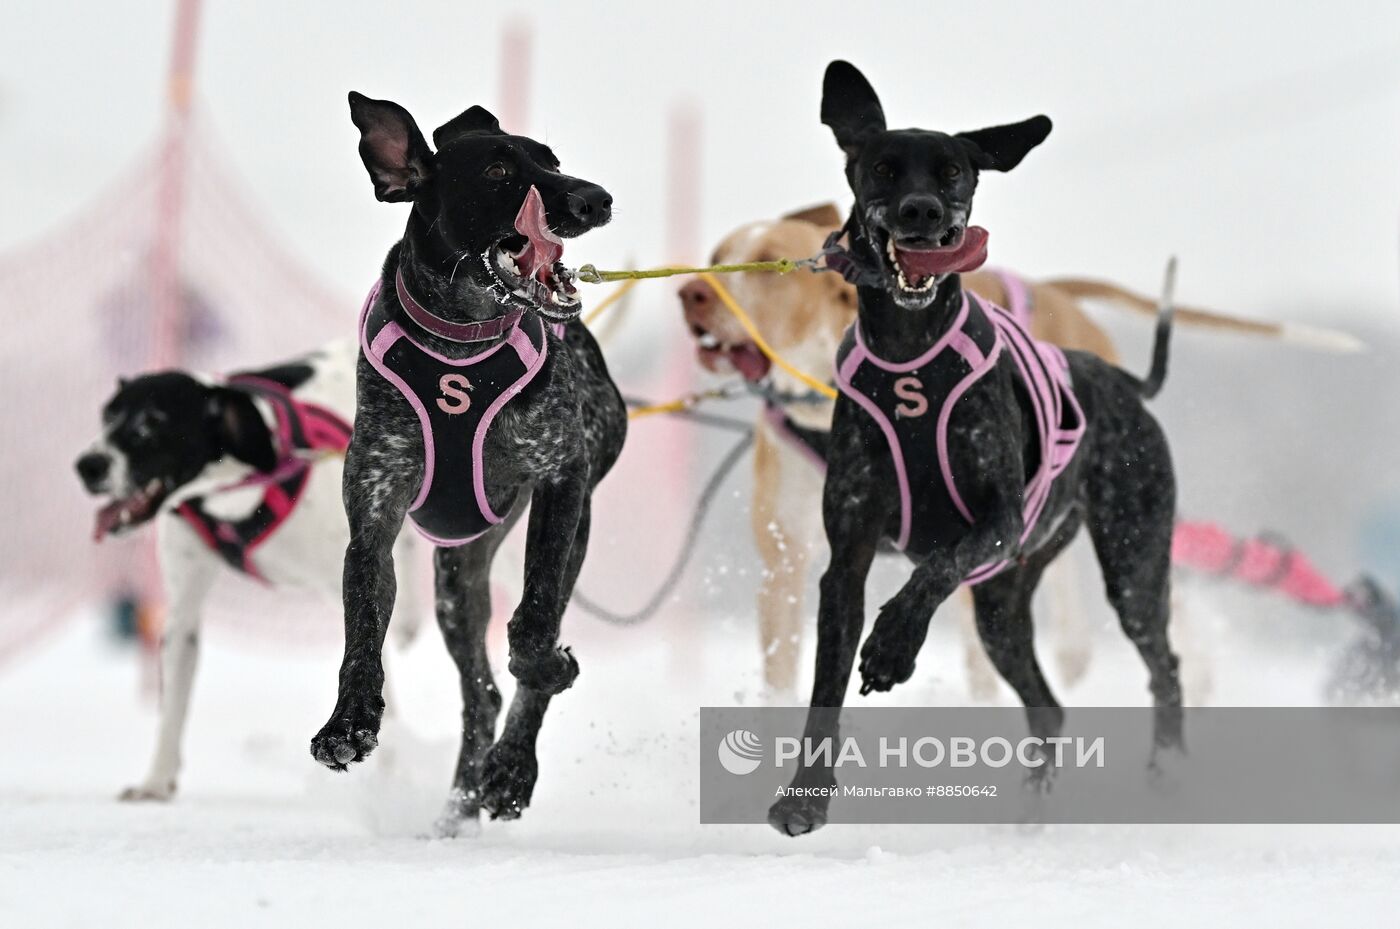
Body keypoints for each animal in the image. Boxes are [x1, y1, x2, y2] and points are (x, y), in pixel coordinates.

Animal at [75, 344, 420, 800]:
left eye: (152, 423)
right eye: (106, 417)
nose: (88, 465)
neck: (234, 487)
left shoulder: (350, 577)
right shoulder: (182, 613)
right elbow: (172, 707)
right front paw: (156, 782)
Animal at [312, 94, 630, 833]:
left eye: (552, 159)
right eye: (496, 170)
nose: (596, 197)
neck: (461, 342)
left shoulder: (562, 478)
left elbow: (537, 621)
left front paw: (544, 671)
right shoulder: (373, 517)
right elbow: (361, 630)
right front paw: (349, 722)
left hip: (567, 526)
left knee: (522, 658)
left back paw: (510, 768)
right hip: (455, 580)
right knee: (480, 695)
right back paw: (459, 804)